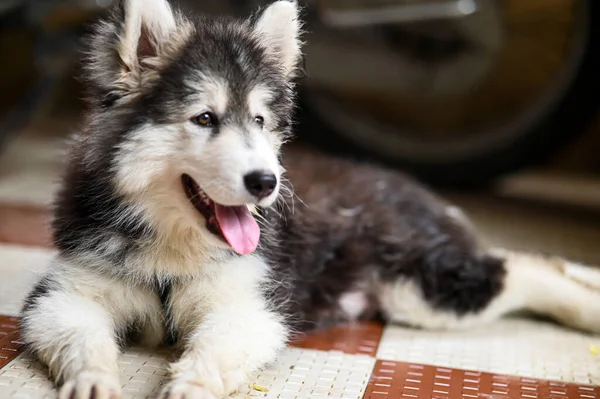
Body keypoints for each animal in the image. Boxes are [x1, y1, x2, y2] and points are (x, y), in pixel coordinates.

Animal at [19, 0, 600, 399]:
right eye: (204, 118)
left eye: (259, 121)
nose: (266, 182)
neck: (173, 243)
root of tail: (404, 184)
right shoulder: (66, 292)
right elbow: (79, 335)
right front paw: (94, 378)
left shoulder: (251, 302)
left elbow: (214, 348)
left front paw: (191, 384)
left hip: (421, 287)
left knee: (526, 266)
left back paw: (586, 309)